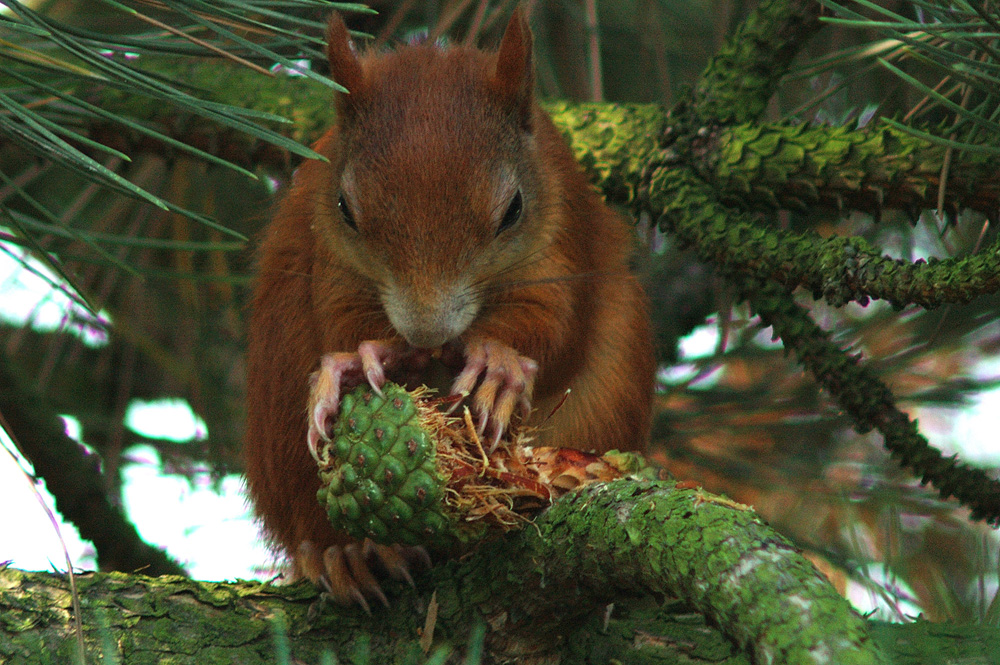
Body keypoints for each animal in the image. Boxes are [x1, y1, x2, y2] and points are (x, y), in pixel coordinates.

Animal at [244, 6, 656, 608]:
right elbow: (338, 320)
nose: (425, 334)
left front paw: (497, 364)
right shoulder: (330, 258)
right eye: (345, 209)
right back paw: (348, 551)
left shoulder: (565, 239)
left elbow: (560, 331)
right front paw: (364, 358)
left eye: (513, 210)